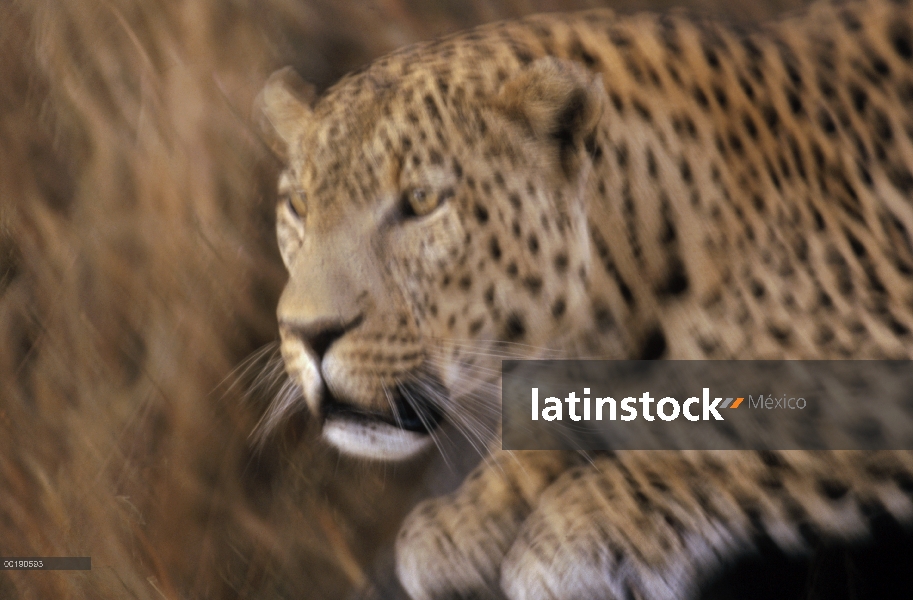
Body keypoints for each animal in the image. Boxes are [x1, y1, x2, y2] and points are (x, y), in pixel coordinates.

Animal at [253, 2, 912, 596]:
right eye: (299, 206)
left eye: (421, 201)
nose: (307, 333)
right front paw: (474, 512)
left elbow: (727, 425)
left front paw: (572, 531)